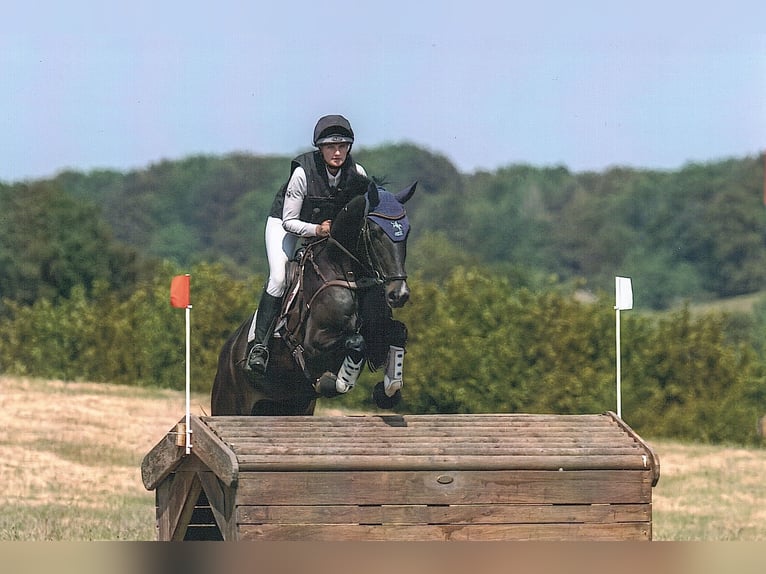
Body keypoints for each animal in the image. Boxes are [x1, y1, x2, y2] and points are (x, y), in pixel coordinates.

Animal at [210, 182, 416, 416]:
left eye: (406, 231)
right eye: (375, 232)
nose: (399, 294)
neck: (349, 275)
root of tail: (226, 352)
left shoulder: (377, 332)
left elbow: (396, 333)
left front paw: (389, 390)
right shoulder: (313, 344)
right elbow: (356, 342)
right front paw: (336, 382)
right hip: (229, 405)